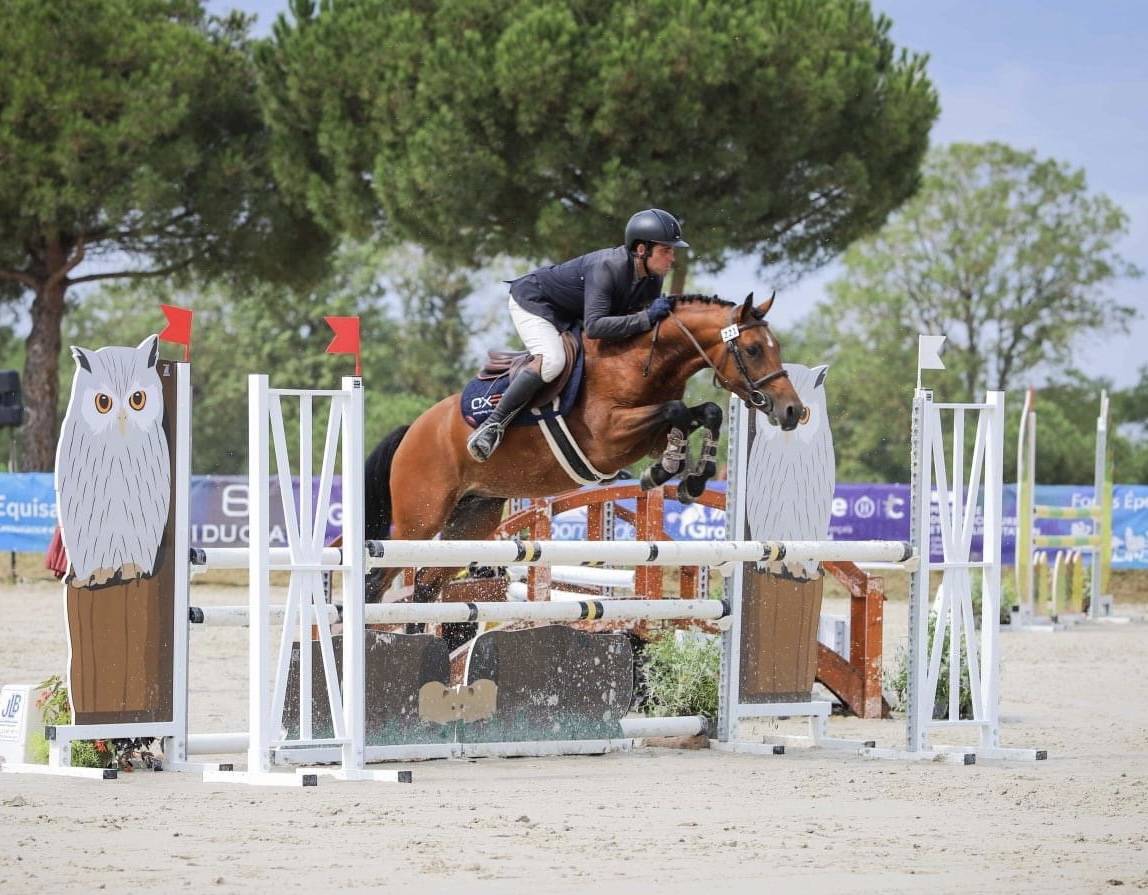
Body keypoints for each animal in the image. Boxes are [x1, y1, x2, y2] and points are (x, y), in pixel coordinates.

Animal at [363, 292, 805, 606]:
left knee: (425, 583)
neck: (639, 362)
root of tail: (412, 431)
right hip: (419, 520)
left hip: (473, 518)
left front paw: (689, 478)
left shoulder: (646, 437)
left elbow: (705, 412)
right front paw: (667, 472)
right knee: (380, 577)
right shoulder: (608, 440)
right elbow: (677, 410)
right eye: (753, 350)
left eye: (776, 347)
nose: (793, 411)